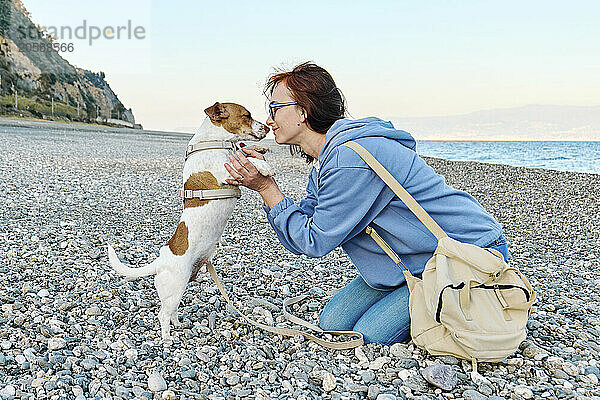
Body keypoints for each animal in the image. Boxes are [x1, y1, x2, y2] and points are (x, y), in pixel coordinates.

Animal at [108, 102, 274, 338]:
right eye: (246, 115)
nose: (268, 128)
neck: (215, 143)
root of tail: (161, 261)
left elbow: (244, 152)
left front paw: (260, 153)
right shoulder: (225, 172)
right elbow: (245, 160)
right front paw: (265, 167)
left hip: (181, 286)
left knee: (173, 311)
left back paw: (179, 325)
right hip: (175, 287)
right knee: (162, 314)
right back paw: (167, 338)